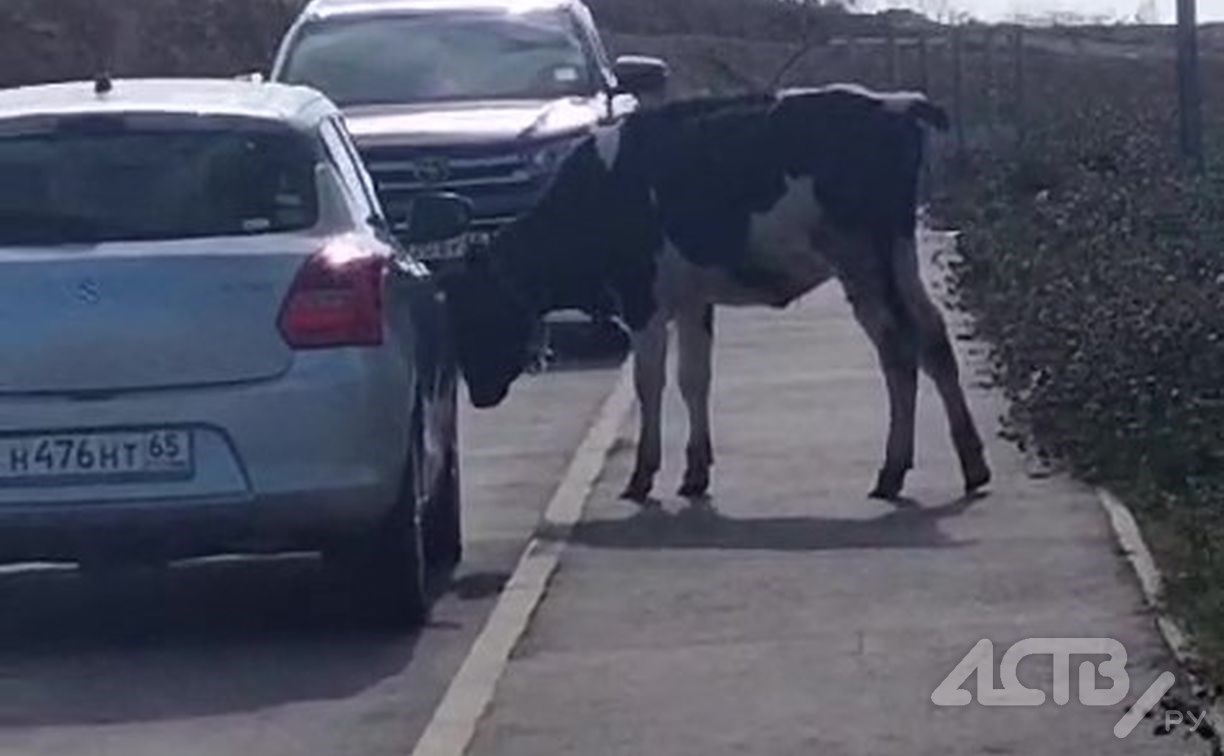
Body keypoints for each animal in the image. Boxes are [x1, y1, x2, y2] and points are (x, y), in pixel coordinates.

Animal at [435, 83, 988, 501]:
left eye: (471, 314)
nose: (478, 395)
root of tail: (892, 104)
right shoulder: (692, 300)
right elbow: (694, 378)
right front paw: (695, 472)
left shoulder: (643, 298)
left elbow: (651, 381)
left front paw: (642, 477)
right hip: (898, 255)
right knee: (933, 339)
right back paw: (971, 464)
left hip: (862, 262)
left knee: (899, 350)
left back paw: (893, 472)